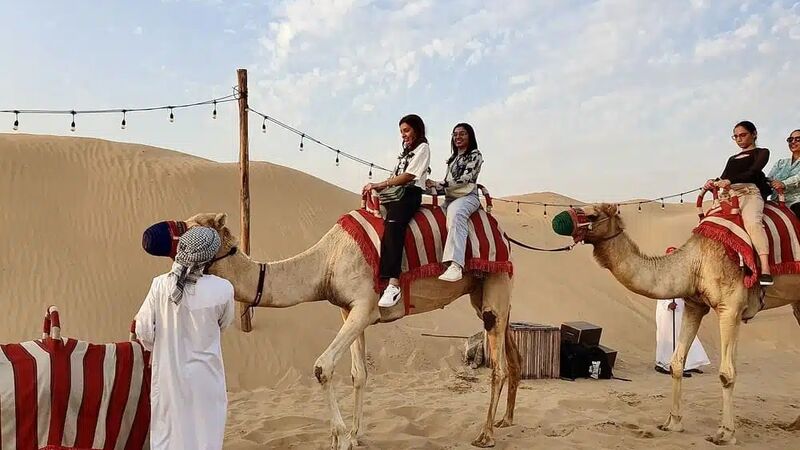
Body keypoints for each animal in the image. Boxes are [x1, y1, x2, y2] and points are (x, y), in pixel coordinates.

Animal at [181, 212, 521, 449]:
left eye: (191, 232)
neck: (327, 261)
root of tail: (502, 233)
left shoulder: (364, 306)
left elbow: (323, 367)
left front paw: (341, 437)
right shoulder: (349, 309)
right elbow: (359, 374)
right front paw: (356, 434)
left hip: (495, 281)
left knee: (499, 364)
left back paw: (485, 434)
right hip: (482, 291)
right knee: (510, 350)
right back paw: (505, 420)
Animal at [555, 203, 800, 445]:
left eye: (592, 215)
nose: (560, 219)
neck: (696, 263)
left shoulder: (730, 308)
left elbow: (726, 373)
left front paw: (725, 433)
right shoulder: (694, 305)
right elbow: (676, 363)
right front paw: (672, 423)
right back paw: (794, 425)